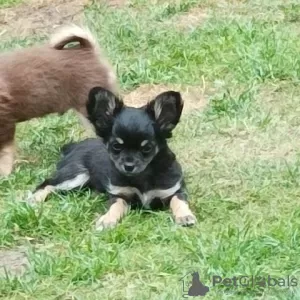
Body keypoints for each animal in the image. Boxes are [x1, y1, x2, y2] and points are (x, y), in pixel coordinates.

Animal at [27, 86, 197, 230]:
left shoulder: (174, 190)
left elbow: (179, 201)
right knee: (48, 184)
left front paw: (185, 216)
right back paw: (34, 199)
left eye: (147, 148)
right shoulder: (120, 195)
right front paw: (107, 219)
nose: (128, 166)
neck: (142, 176)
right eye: (116, 146)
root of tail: (73, 146)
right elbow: (115, 206)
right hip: (77, 174)